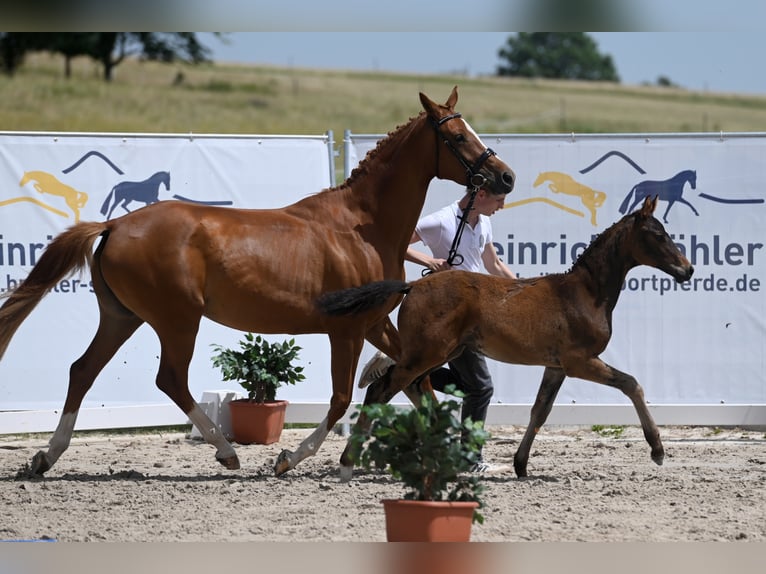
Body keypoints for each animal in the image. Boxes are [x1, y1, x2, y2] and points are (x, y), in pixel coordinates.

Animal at [0, 88, 520, 480]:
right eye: (457, 135)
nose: (506, 177)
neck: (362, 227)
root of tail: (114, 225)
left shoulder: (376, 325)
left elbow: (418, 385)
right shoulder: (347, 331)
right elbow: (341, 399)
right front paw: (289, 458)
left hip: (122, 317)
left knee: (82, 371)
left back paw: (45, 458)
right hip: (177, 320)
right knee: (169, 379)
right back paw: (226, 452)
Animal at [318, 198, 696, 482]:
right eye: (657, 234)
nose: (688, 269)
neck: (584, 294)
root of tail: (412, 286)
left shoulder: (556, 367)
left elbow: (540, 411)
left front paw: (521, 465)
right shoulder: (580, 361)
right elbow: (632, 384)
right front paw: (657, 450)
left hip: (442, 352)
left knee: (408, 385)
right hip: (428, 353)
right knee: (381, 390)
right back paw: (347, 463)